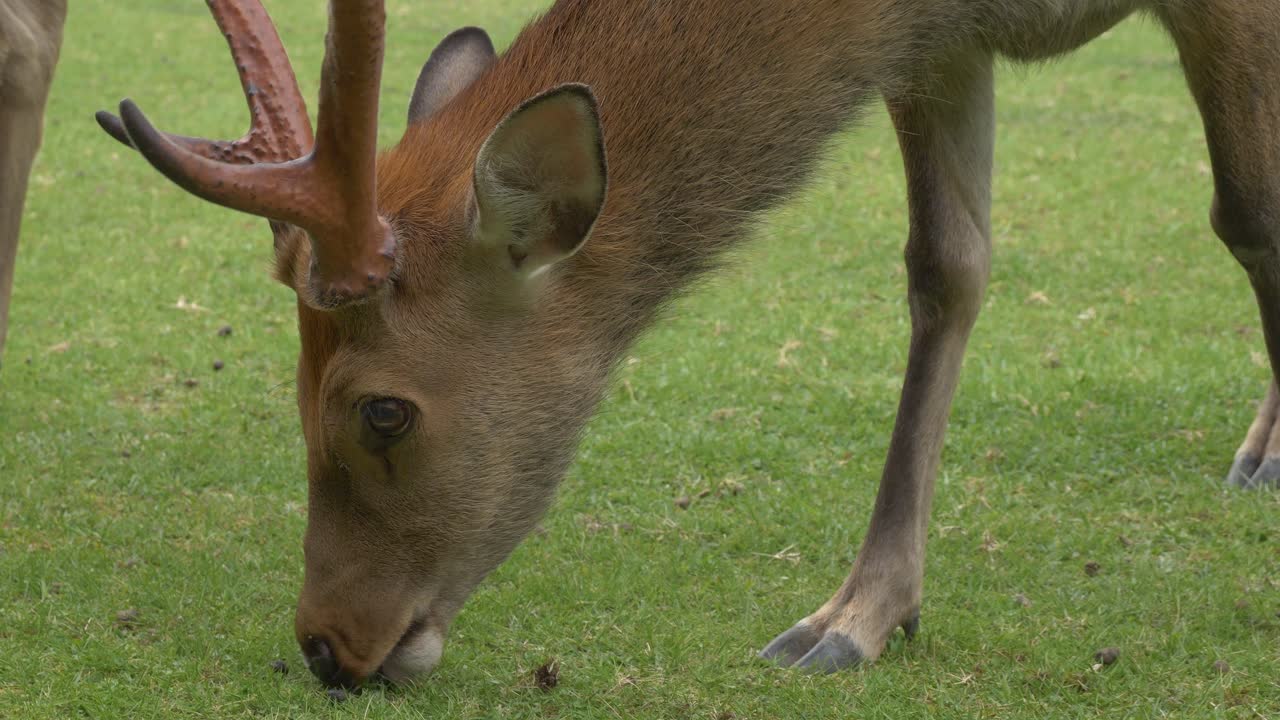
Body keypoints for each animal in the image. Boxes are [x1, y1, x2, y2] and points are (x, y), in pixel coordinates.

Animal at [93, 0, 1280, 690]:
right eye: (290, 393)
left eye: (383, 408)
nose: (326, 645)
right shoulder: (938, 42)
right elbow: (946, 268)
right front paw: (853, 617)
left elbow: (1251, 215)